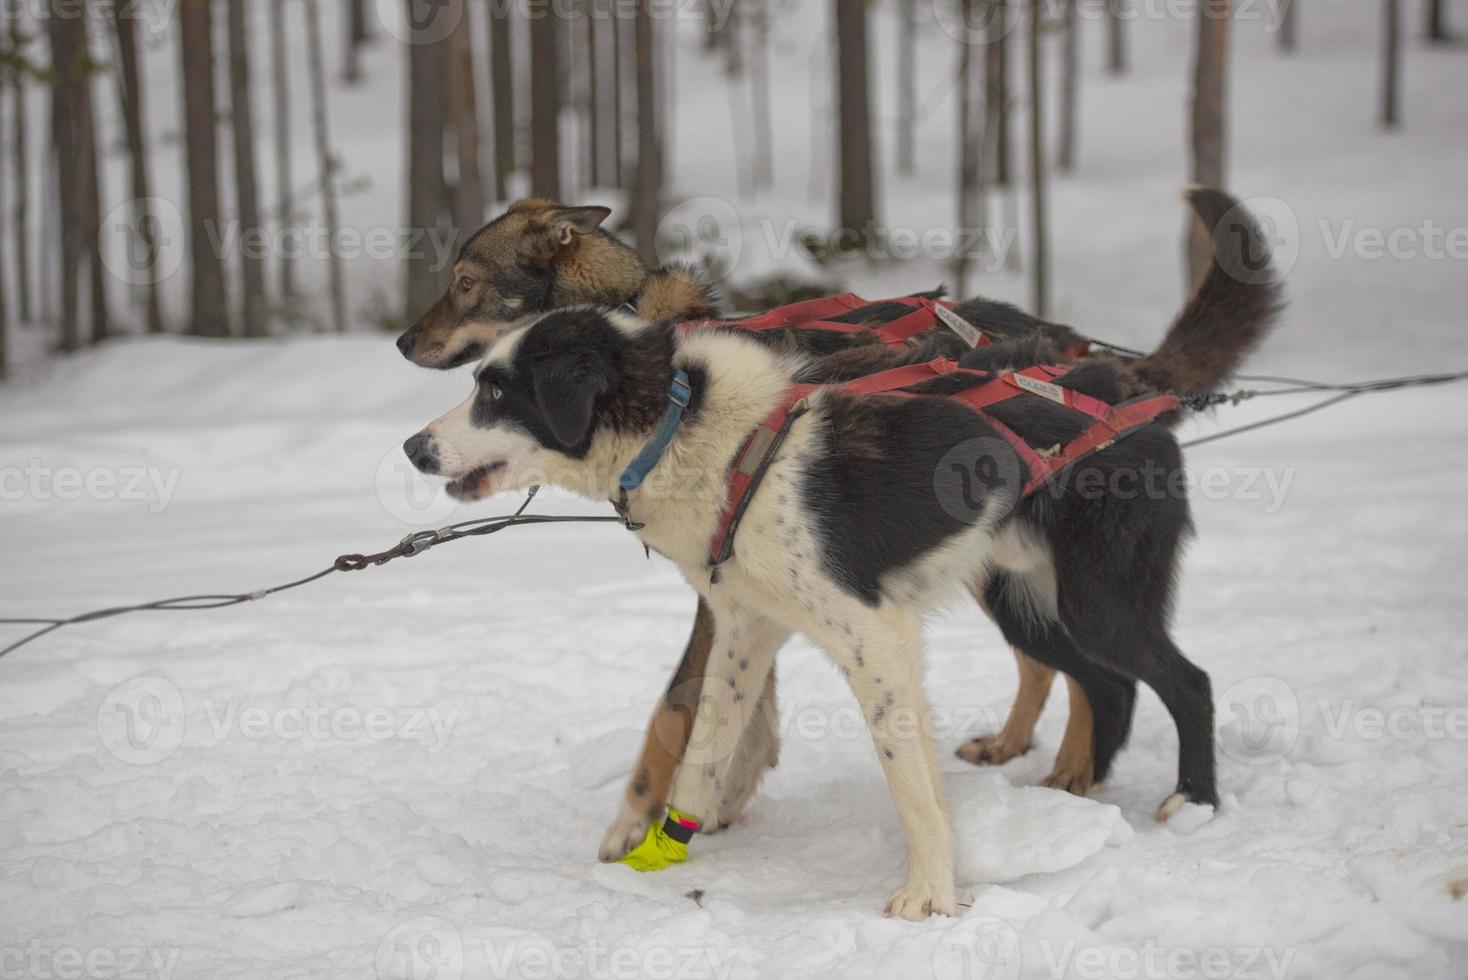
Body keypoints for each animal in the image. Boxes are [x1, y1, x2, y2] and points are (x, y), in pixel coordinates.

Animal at [402, 300, 1215, 921]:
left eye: (498, 393)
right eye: (481, 381)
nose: (413, 447)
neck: (690, 428)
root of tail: (1127, 384)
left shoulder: (872, 637)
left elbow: (907, 783)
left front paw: (928, 894)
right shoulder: (746, 628)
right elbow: (702, 756)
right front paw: (659, 858)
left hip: (1097, 601)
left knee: (1188, 683)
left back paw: (1193, 803)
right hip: (1031, 604)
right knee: (1109, 683)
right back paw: (1081, 788)